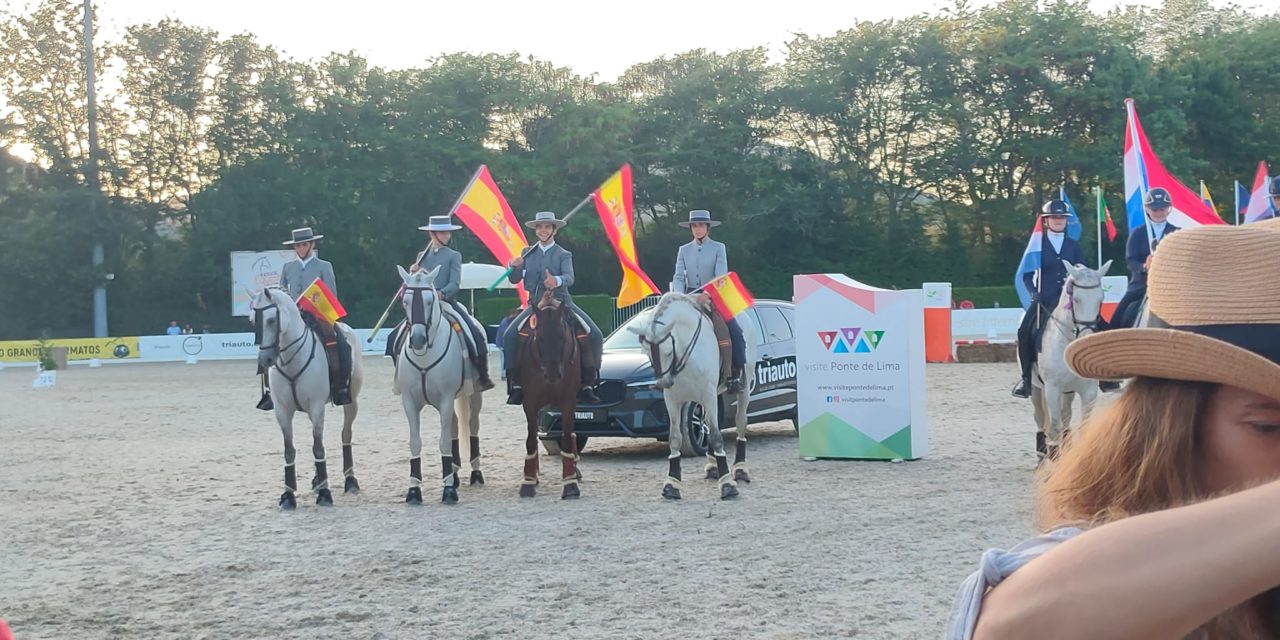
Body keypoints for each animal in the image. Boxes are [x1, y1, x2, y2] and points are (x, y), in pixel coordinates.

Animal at [249, 286, 363, 509]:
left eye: (271, 320)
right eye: (252, 321)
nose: (265, 359)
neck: (291, 358)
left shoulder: (316, 407)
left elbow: (318, 448)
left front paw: (325, 494)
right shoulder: (282, 411)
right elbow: (289, 450)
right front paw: (288, 495)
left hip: (351, 402)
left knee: (346, 435)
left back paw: (350, 480)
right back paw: (318, 481)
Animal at [1029, 257, 1111, 458]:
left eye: (1101, 299)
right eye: (1076, 299)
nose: (1086, 339)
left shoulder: (1089, 390)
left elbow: (1084, 426)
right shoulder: (1052, 389)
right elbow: (1054, 427)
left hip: (1068, 391)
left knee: (1066, 417)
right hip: (1036, 387)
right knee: (1040, 418)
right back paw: (1042, 455)